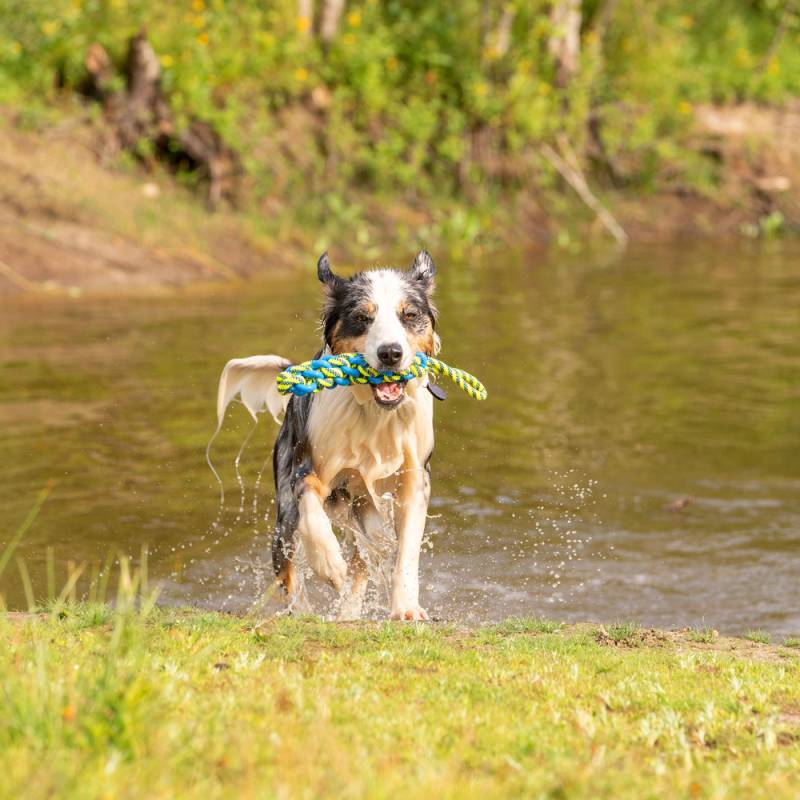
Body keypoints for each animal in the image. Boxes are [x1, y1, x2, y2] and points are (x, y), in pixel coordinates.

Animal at [216, 250, 440, 620]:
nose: (390, 353)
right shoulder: (308, 470)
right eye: (362, 317)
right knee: (287, 569)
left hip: (366, 509)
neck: (372, 412)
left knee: (366, 557)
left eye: (409, 315)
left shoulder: (414, 480)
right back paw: (305, 611)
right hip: (285, 514)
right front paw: (329, 565)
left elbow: (406, 551)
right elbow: (312, 513)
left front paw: (406, 607)